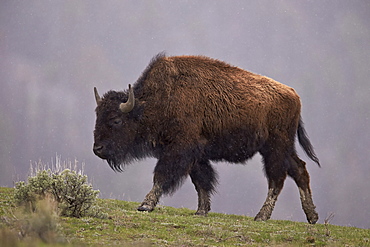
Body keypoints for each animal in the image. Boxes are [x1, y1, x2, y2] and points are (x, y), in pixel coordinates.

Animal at [93, 53, 320, 224]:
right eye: (98, 116)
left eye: (115, 120)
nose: (97, 149)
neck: (156, 101)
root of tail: (294, 95)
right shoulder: (196, 155)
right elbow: (201, 181)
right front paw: (201, 211)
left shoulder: (179, 149)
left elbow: (162, 175)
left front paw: (145, 205)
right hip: (282, 148)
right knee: (299, 169)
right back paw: (312, 216)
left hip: (275, 147)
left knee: (277, 178)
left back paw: (261, 216)